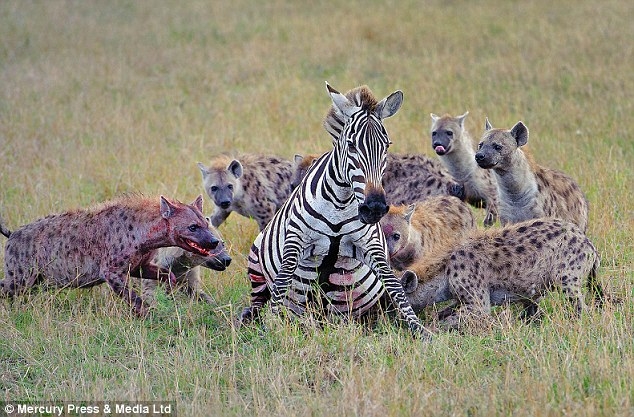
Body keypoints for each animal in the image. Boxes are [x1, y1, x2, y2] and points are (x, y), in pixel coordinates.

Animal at [237, 83, 430, 340]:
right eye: (351, 145)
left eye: (387, 145)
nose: (375, 207)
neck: (340, 202)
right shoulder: (295, 241)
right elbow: (282, 280)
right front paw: (270, 329)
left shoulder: (371, 246)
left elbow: (395, 286)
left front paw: (420, 330)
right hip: (256, 266)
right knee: (258, 302)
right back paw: (250, 320)